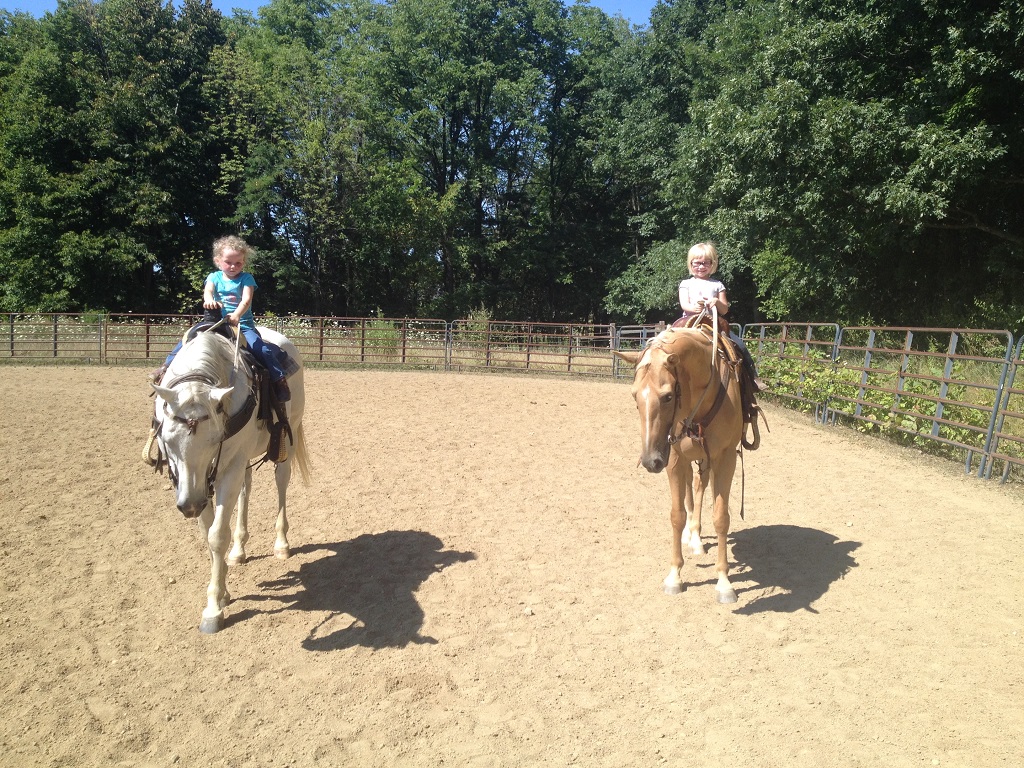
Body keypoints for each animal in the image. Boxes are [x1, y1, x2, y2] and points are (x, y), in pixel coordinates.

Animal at [147, 325, 307, 630]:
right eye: (167, 440)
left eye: (214, 438)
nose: (189, 505)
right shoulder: (196, 480)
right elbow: (207, 532)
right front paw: (222, 593)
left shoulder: (224, 469)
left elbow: (217, 535)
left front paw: (212, 608)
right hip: (241, 462)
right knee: (246, 489)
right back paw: (238, 550)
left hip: (287, 438)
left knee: (281, 481)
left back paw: (281, 545)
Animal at [614, 327, 745, 606]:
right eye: (634, 395)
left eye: (668, 396)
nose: (650, 461)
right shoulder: (673, 459)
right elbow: (677, 515)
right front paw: (674, 576)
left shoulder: (725, 457)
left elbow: (721, 517)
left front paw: (724, 583)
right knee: (689, 490)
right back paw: (690, 537)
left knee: (699, 487)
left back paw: (696, 537)